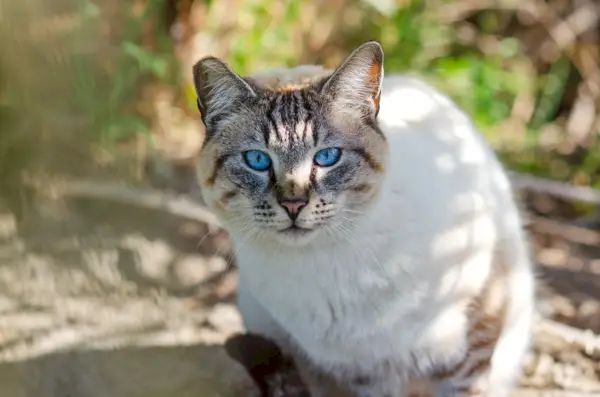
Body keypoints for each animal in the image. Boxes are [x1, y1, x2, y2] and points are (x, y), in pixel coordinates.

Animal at [191, 41, 536, 396]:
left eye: (327, 157)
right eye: (257, 160)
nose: (294, 203)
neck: (322, 265)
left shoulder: (473, 341)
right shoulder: (351, 375)